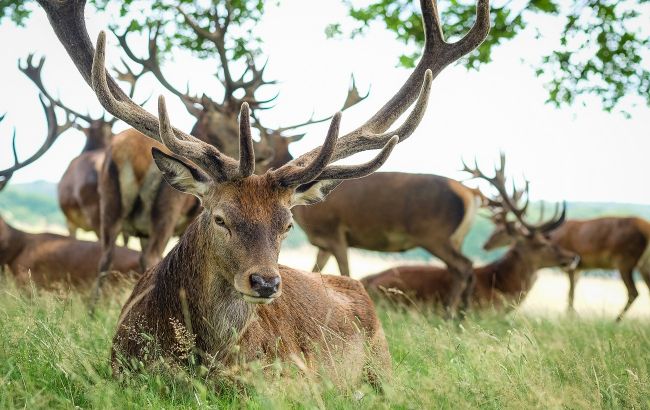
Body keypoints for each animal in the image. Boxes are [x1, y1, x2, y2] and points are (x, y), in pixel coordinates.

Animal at [480, 213, 648, 322]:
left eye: (501, 230)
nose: (485, 245)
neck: (554, 237)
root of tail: (647, 228)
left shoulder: (572, 268)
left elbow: (570, 294)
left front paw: (568, 319)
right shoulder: (577, 268)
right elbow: (571, 294)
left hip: (625, 261)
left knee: (634, 292)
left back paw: (615, 321)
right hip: (642, 264)